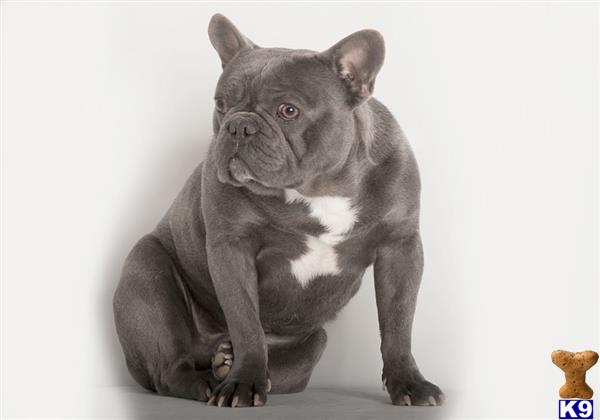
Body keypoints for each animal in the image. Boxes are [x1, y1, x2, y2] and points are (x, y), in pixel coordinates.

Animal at [113, 13, 440, 410]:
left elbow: (398, 322)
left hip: (315, 342)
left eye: (288, 111)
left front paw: (409, 382)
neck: (319, 188)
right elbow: (245, 323)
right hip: (147, 272)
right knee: (169, 370)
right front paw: (244, 382)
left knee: (290, 366)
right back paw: (206, 380)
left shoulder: (400, 248)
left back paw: (224, 363)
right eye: (220, 103)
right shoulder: (231, 248)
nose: (238, 124)